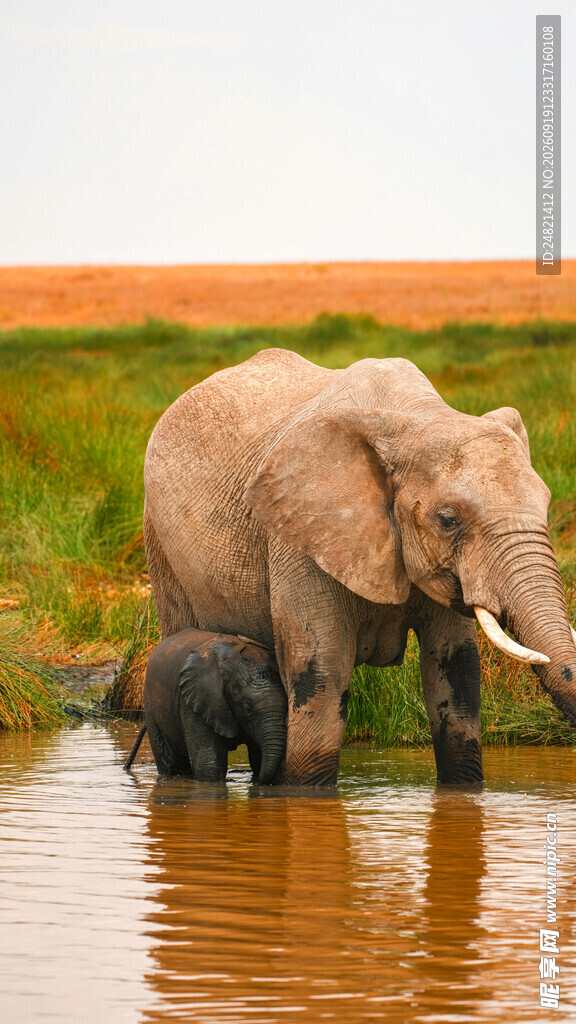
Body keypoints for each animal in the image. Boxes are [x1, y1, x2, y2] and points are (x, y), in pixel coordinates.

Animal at [123, 628, 287, 784]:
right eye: (246, 707)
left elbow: (257, 758)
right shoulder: (197, 700)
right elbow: (208, 766)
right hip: (150, 702)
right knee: (171, 762)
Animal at [142, 347, 576, 786]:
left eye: (545, 506)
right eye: (447, 519)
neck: (414, 419)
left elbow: (455, 670)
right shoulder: (301, 538)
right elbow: (322, 672)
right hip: (158, 538)